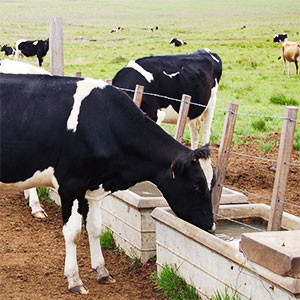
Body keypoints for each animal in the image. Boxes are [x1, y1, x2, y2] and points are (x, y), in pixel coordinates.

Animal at [0, 74, 216, 294]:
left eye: (212, 184)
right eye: (196, 185)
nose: (211, 226)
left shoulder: (94, 186)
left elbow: (95, 227)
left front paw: (102, 271)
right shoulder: (70, 185)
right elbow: (73, 233)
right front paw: (75, 280)